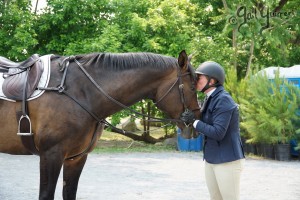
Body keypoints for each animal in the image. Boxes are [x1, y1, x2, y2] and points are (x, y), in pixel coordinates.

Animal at [0, 49, 202, 198]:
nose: (194, 123)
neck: (80, 91)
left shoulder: (76, 158)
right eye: (192, 86)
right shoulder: (51, 155)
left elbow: (69, 193)